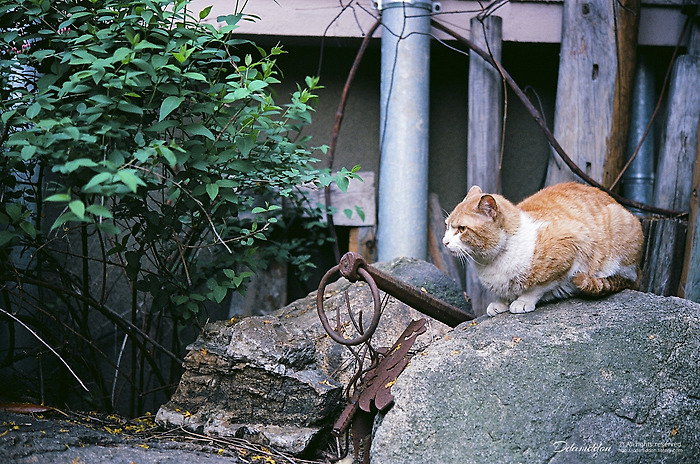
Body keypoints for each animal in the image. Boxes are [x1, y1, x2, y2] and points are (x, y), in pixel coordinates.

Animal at [446, 183, 644, 318]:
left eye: (462, 229)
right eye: (447, 226)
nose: (444, 242)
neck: (491, 262)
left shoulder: (570, 245)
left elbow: (540, 286)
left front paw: (522, 301)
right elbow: (503, 293)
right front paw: (500, 302)